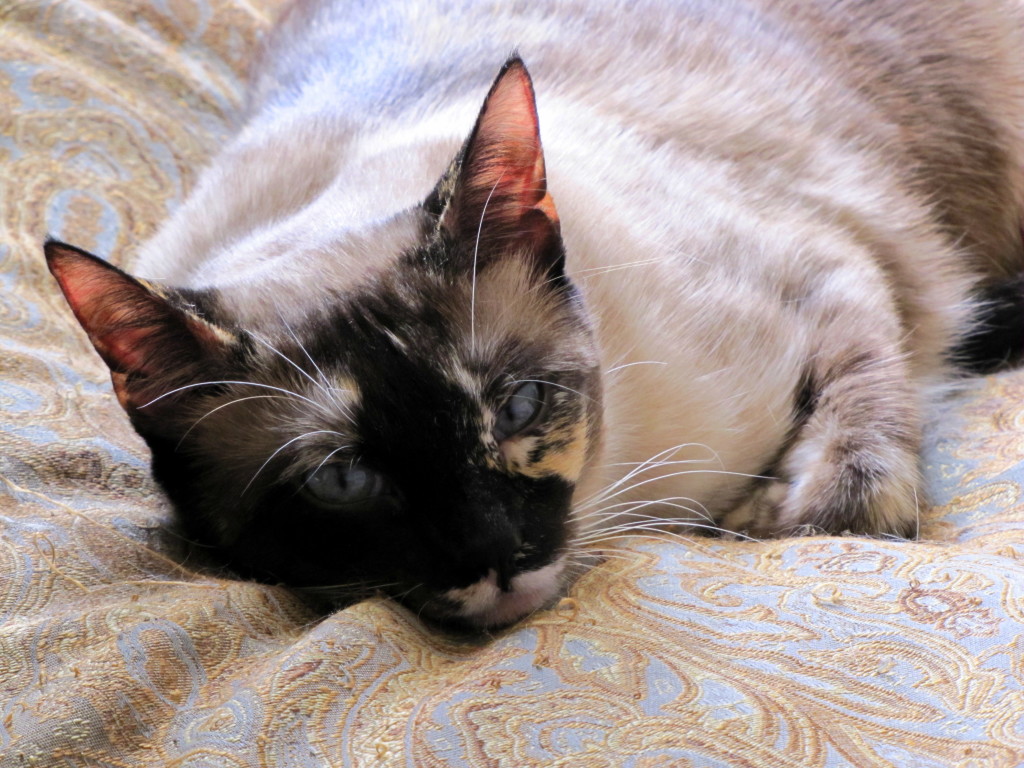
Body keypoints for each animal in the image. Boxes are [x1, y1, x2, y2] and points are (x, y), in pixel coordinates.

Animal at [44, 0, 1019, 626]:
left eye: (516, 409)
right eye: (343, 483)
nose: (501, 556)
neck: (637, 495)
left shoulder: (840, 264)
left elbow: (857, 468)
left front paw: (778, 517)